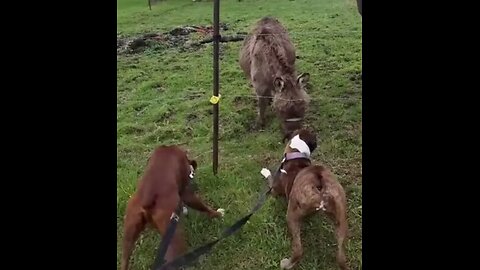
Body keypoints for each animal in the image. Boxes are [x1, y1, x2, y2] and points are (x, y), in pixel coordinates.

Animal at [262, 129, 348, 270]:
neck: (296, 152)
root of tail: (319, 182)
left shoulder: (274, 190)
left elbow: (269, 178)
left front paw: (265, 171)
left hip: (291, 215)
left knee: (298, 250)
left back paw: (287, 263)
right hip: (341, 219)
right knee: (341, 257)